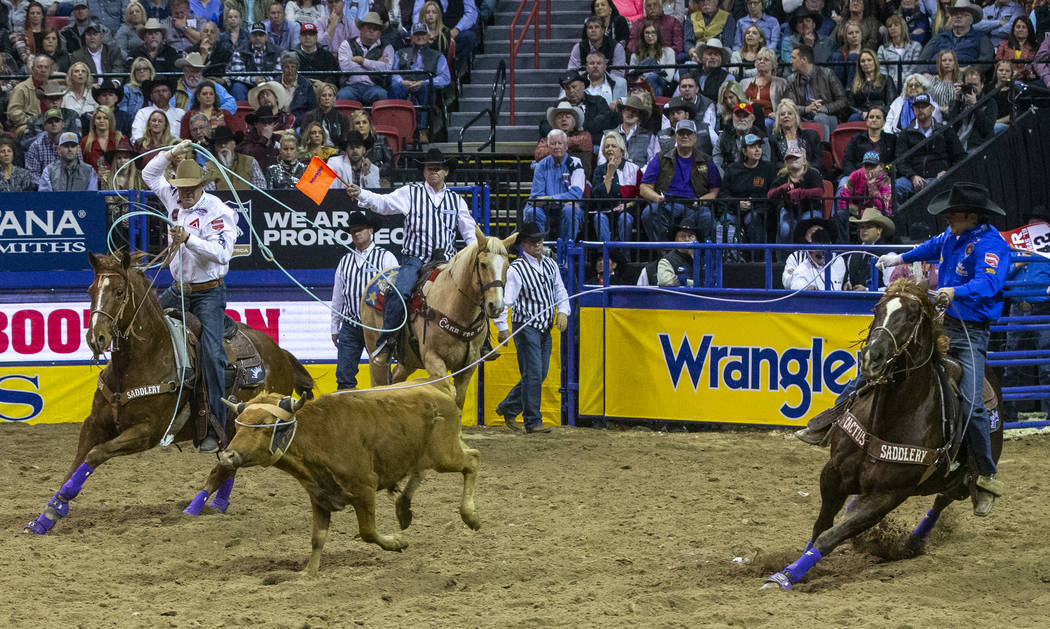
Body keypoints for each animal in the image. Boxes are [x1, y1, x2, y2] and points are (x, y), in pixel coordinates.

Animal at [23, 250, 310, 535]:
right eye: (91, 290)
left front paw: (58, 505)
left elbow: (95, 454)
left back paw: (194, 508)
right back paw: (217, 503)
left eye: (119, 291)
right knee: (231, 463)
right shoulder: (93, 424)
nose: (97, 338)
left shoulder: (146, 433)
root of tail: (280, 353)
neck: (142, 361)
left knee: (222, 469)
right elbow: (75, 463)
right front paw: (47, 515)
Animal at [361, 226, 516, 409]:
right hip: (374, 352)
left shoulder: (468, 366)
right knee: (378, 382)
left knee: (398, 375)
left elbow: (458, 400)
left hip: (409, 359)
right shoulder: (433, 359)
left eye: (507, 266)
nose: (496, 306)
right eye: (483, 264)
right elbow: (448, 393)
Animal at [768, 281, 1003, 592]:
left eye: (913, 317)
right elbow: (822, 526)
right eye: (878, 308)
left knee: (942, 501)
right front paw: (797, 567)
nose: (872, 357)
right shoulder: (832, 474)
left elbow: (830, 536)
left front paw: (788, 575)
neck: (885, 421)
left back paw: (917, 540)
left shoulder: (887, 496)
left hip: (960, 482)